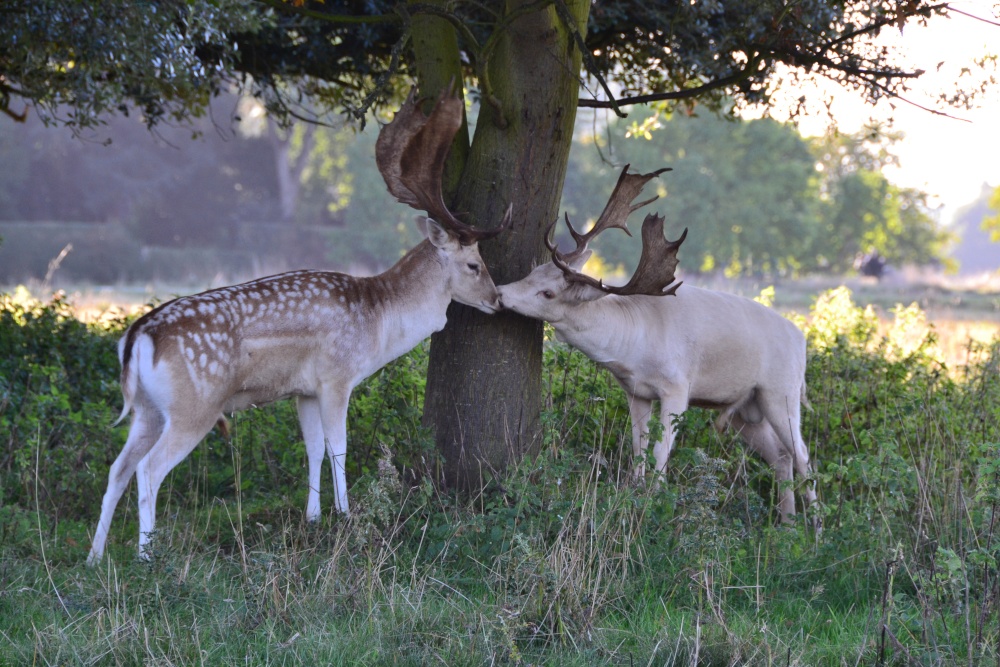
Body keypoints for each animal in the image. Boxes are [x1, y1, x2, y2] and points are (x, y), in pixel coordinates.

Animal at [88, 89, 509, 564]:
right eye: (474, 264)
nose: (497, 300)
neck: (379, 321)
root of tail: (137, 337)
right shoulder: (337, 376)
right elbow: (339, 446)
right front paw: (345, 516)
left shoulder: (303, 389)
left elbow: (313, 448)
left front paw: (313, 517)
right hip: (194, 405)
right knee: (149, 469)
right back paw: (147, 556)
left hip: (147, 409)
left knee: (117, 468)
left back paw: (95, 556)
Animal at [497, 166, 817, 523]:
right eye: (535, 271)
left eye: (548, 293)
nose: (499, 292)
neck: (635, 347)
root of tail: (801, 339)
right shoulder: (636, 392)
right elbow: (638, 448)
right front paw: (633, 496)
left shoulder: (677, 387)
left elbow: (661, 451)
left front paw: (656, 503)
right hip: (746, 409)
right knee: (781, 455)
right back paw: (787, 523)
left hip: (781, 391)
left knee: (803, 456)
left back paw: (816, 526)